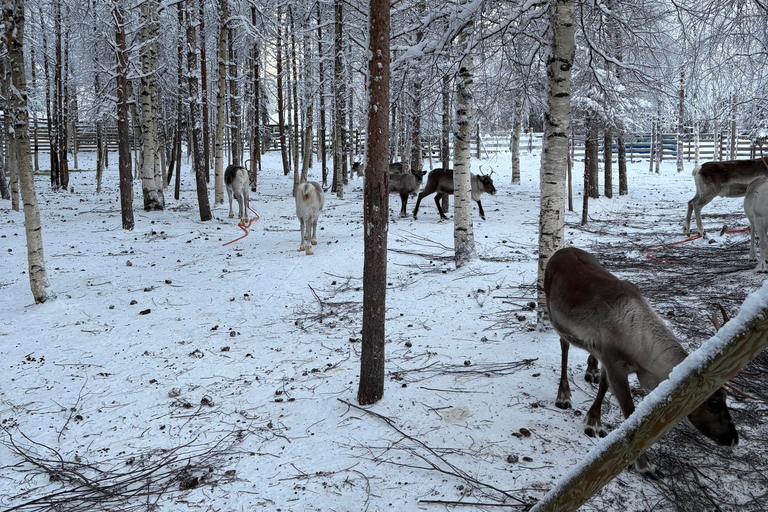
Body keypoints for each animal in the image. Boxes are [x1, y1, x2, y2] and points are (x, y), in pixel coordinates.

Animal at [544, 246, 738, 479]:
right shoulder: (615, 363)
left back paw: (591, 370)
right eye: (714, 402)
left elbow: (604, 386)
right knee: (564, 346)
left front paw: (593, 420)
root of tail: (561, 251)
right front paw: (645, 465)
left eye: (725, 397)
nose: (733, 438)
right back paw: (563, 395)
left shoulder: (610, 358)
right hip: (556, 317)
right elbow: (630, 413)